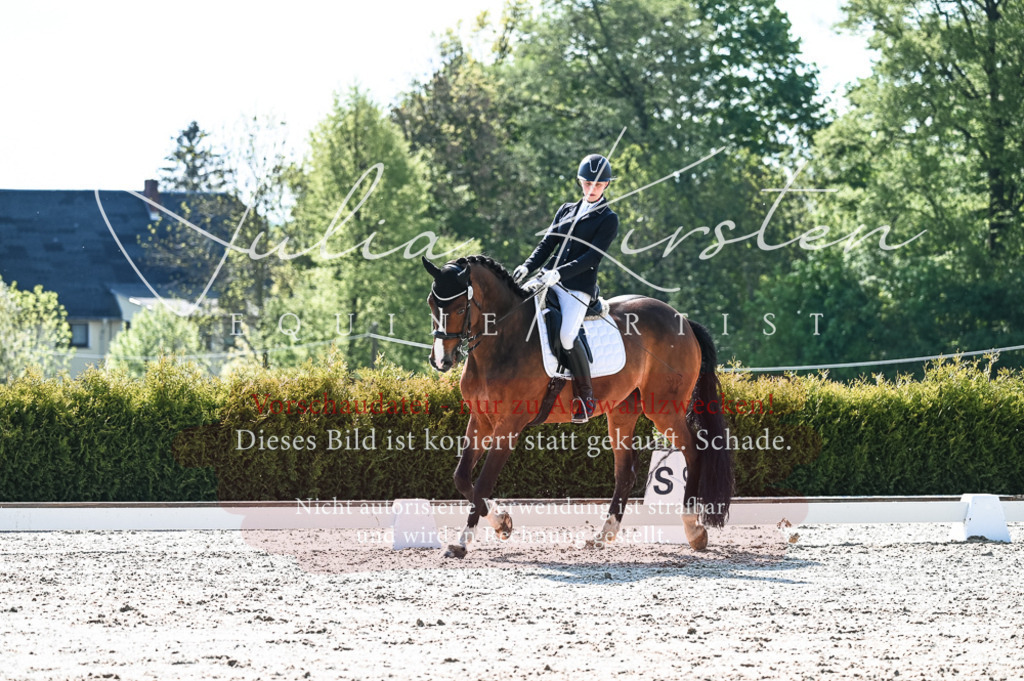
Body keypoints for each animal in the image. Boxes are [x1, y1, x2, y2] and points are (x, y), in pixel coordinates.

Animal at [422, 254, 734, 558]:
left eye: (460, 308)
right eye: (431, 304)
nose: (441, 361)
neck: (503, 339)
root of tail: (682, 319)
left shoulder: (508, 425)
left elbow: (483, 483)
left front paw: (465, 542)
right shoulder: (481, 420)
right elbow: (462, 478)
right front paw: (502, 522)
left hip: (664, 409)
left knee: (693, 451)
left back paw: (694, 529)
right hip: (622, 412)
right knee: (625, 472)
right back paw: (603, 535)